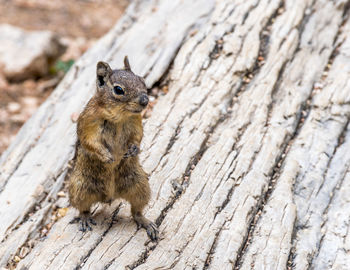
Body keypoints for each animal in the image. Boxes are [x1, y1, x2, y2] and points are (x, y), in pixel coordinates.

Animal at [67, 56, 158, 240]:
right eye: (118, 89)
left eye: (142, 80)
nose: (145, 100)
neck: (119, 116)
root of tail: (110, 196)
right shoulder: (88, 122)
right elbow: (90, 142)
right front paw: (107, 157)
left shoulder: (136, 122)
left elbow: (137, 136)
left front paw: (134, 149)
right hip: (80, 188)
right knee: (83, 208)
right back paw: (85, 219)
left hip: (139, 185)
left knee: (136, 211)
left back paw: (146, 222)